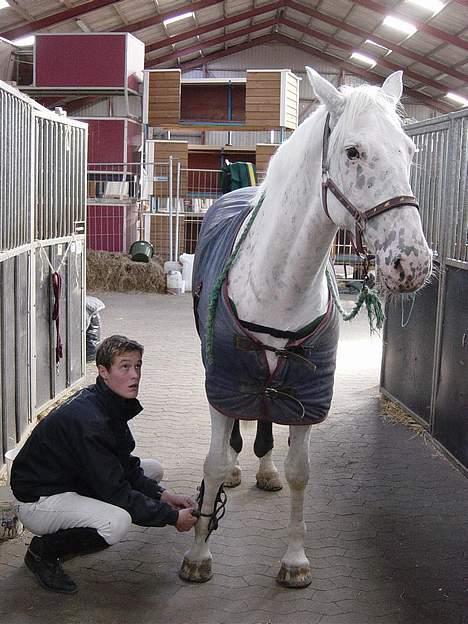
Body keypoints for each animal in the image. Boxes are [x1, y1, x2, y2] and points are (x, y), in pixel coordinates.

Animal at [179, 69, 432, 588]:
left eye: (408, 151)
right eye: (352, 151)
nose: (412, 263)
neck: (280, 284)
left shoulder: (307, 390)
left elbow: (300, 471)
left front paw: (294, 559)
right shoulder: (224, 379)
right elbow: (211, 463)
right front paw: (198, 553)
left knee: (265, 418)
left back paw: (264, 468)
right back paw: (237, 468)